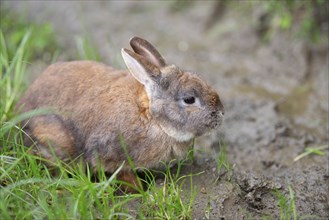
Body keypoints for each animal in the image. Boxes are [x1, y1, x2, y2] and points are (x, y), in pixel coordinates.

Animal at [17, 36, 223, 191]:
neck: (151, 118)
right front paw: (140, 190)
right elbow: (124, 174)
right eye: (189, 99)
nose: (220, 113)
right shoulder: (110, 155)